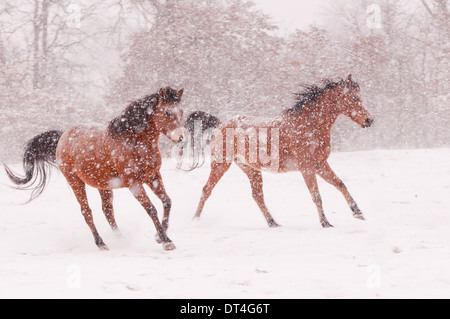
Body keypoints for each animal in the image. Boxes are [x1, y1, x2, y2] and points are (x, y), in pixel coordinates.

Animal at [4, 87, 186, 252]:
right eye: (167, 113)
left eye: (181, 112)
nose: (181, 139)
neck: (133, 142)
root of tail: (63, 137)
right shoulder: (134, 183)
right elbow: (151, 209)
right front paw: (166, 241)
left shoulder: (153, 176)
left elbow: (167, 201)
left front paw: (159, 236)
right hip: (75, 182)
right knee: (87, 211)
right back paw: (101, 243)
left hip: (103, 185)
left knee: (107, 211)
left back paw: (120, 239)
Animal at [193, 75, 372, 228]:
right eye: (354, 98)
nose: (369, 120)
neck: (309, 126)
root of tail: (220, 126)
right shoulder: (307, 167)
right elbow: (316, 195)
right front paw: (325, 223)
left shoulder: (320, 164)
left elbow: (340, 184)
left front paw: (358, 213)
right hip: (220, 164)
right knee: (206, 190)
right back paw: (196, 220)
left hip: (251, 169)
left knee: (257, 196)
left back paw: (273, 223)